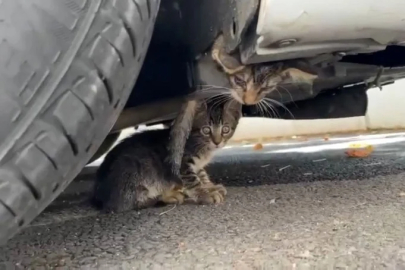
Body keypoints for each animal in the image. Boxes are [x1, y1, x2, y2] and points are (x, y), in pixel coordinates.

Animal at [93, 99, 241, 213]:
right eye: (206, 130)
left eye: (225, 129)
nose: (217, 141)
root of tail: (98, 192)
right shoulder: (181, 164)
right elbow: (193, 181)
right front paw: (205, 194)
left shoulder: (197, 165)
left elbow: (201, 174)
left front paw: (210, 186)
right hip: (131, 173)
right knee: (128, 204)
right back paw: (168, 197)